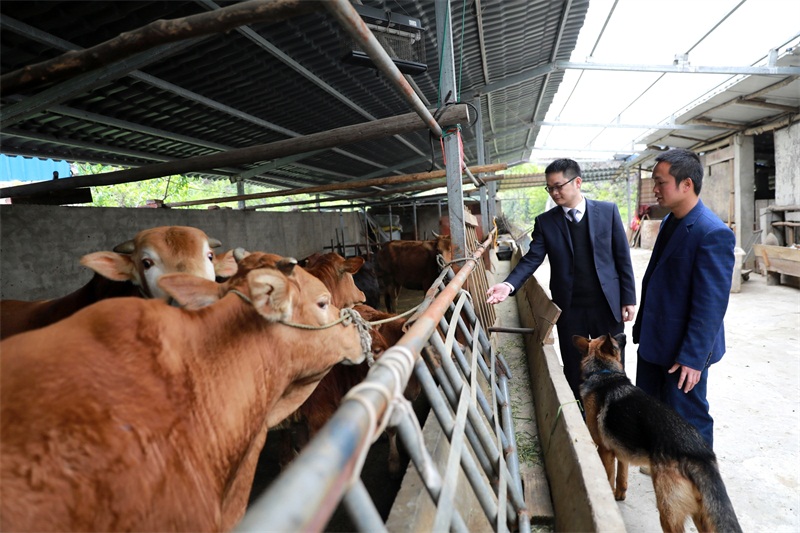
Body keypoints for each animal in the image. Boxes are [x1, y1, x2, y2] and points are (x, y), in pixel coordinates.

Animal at [576, 334, 736, 528]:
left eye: (614, 339)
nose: (624, 334)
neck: (604, 373)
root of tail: (700, 454)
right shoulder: (622, 452)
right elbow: (622, 478)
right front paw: (618, 496)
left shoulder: (605, 450)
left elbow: (608, 477)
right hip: (701, 516)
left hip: (668, 511)